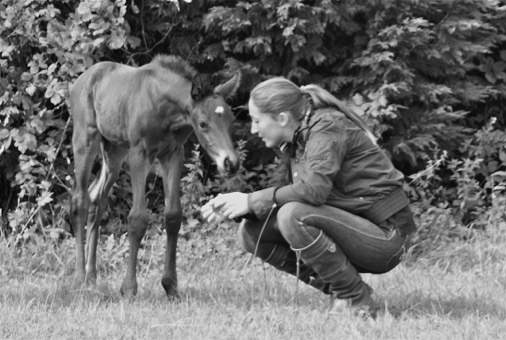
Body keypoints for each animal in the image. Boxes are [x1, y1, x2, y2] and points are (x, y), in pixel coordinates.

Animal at [69, 53, 241, 298]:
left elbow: (173, 216)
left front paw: (171, 287)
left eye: (231, 121)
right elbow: (137, 218)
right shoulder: (139, 154)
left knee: (97, 199)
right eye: (203, 123)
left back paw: (92, 277)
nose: (230, 163)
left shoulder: (173, 155)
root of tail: (81, 80)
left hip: (114, 150)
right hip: (86, 140)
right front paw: (128, 289)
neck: (163, 106)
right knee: (80, 200)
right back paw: (79, 278)